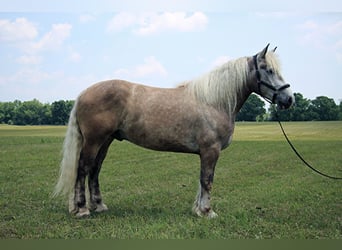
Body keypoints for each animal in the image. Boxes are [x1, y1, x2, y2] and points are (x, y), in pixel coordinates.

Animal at [52, 44, 294, 218]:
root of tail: (83, 93)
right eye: (269, 71)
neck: (213, 101)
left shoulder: (206, 152)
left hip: (106, 141)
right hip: (94, 140)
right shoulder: (210, 150)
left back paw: (99, 206)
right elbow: (207, 180)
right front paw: (207, 212)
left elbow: (202, 180)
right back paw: (82, 209)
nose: (289, 99)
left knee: (94, 170)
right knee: (83, 168)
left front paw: (199, 210)